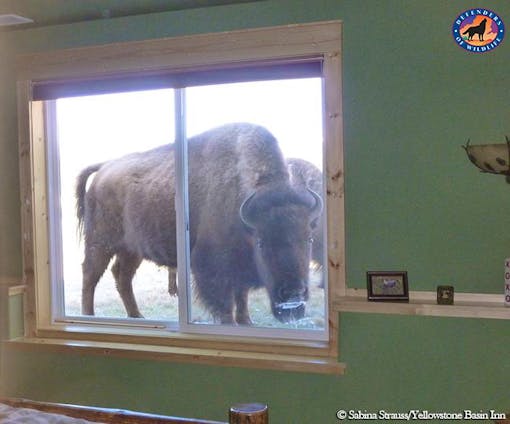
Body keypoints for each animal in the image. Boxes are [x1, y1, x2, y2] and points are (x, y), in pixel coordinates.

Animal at [75, 122, 322, 324]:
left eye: (309, 239)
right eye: (261, 242)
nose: (293, 294)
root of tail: (104, 168)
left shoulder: (238, 267)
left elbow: (241, 296)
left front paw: (247, 321)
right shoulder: (213, 269)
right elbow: (225, 305)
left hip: (131, 250)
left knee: (122, 276)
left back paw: (137, 316)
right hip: (100, 243)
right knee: (90, 275)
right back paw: (89, 316)